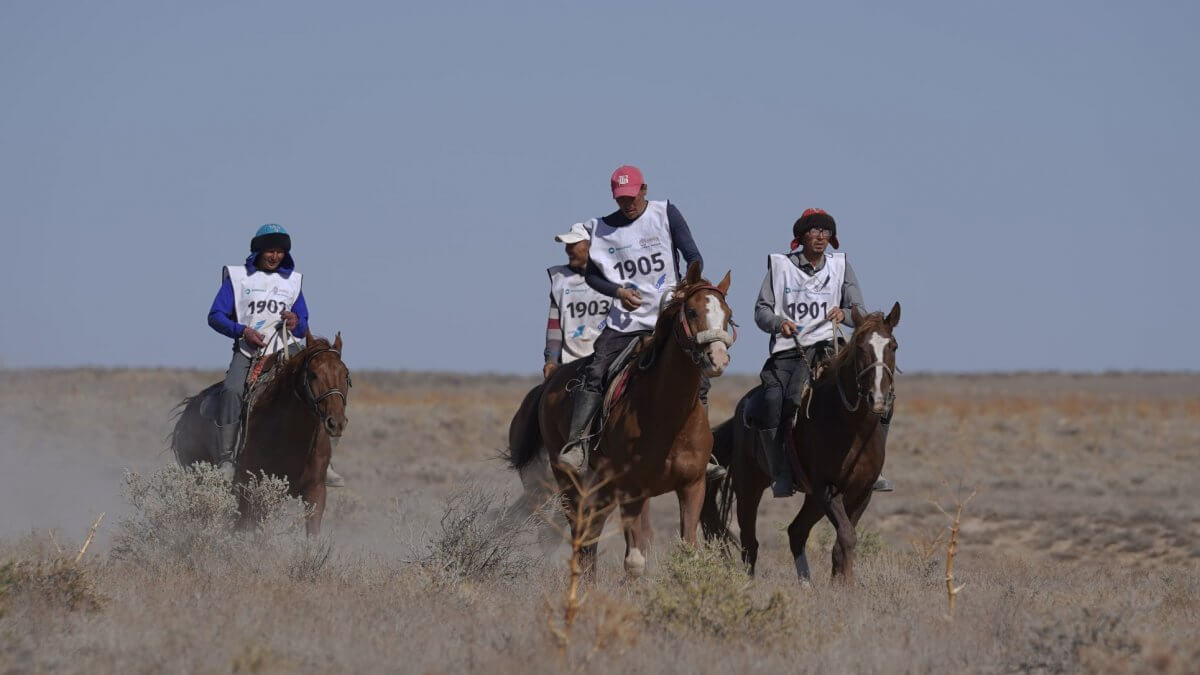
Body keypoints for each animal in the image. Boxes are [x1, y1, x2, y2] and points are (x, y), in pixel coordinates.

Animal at [169, 329, 350, 533]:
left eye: (345, 374)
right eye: (313, 374)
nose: (336, 422)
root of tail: (187, 411)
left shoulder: (315, 491)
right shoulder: (253, 492)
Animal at [523, 263, 729, 578]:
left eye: (728, 314)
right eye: (693, 312)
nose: (717, 357)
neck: (668, 417)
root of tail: (549, 383)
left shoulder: (693, 486)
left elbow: (688, 555)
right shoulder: (631, 491)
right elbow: (635, 562)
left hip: (603, 490)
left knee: (591, 535)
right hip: (571, 484)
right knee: (581, 533)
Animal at [700, 302, 902, 581]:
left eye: (893, 346)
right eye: (861, 347)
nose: (878, 399)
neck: (851, 426)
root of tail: (742, 409)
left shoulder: (861, 491)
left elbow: (842, 543)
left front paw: (842, 585)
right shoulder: (826, 489)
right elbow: (847, 537)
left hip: (812, 499)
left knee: (796, 531)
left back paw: (806, 583)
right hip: (749, 486)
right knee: (750, 543)